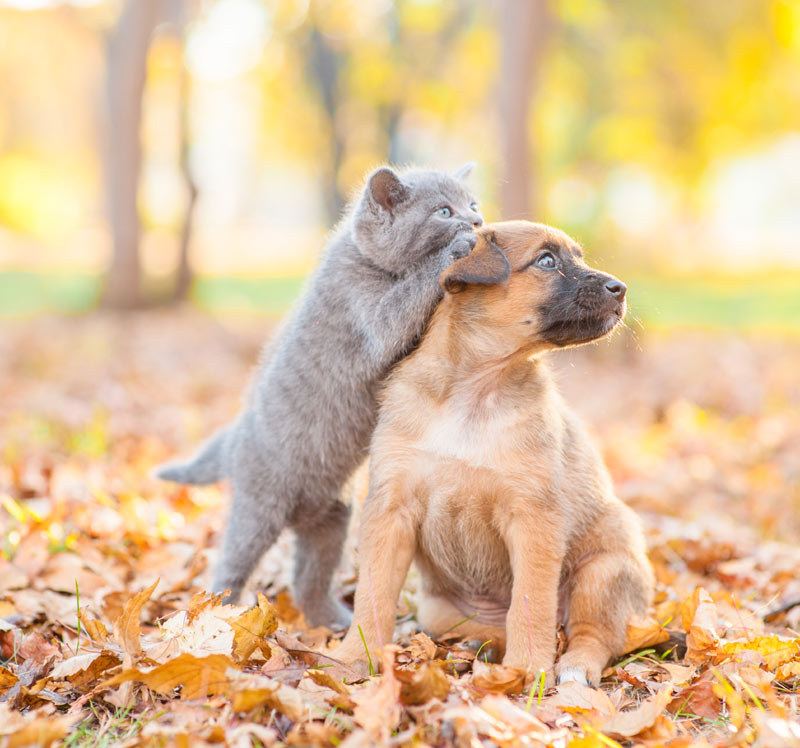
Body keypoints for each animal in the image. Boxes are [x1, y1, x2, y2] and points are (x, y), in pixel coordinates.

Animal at [156, 164, 482, 624]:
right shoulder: (361, 304)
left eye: (473, 203)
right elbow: (402, 308)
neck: (370, 262)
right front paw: (458, 248)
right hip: (259, 506)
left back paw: (332, 621)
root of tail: (234, 439)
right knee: (233, 559)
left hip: (333, 516)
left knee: (308, 577)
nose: (477, 221)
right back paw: (220, 613)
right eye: (443, 211)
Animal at [334, 221, 652, 684]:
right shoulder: (390, 510)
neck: (475, 391)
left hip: (603, 571)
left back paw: (570, 667)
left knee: (592, 636)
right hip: (437, 609)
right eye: (546, 261)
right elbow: (372, 595)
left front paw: (527, 669)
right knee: (493, 627)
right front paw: (354, 657)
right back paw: (474, 647)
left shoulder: (533, 517)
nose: (621, 288)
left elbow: (530, 604)